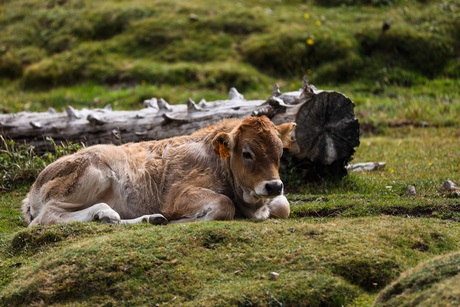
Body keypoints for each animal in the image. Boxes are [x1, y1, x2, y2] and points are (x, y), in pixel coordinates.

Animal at [22, 116, 294, 227]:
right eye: (247, 153)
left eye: (280, 151)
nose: (273, 185)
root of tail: (33, 188)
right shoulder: (178, 195)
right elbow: (224, 205)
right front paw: (182, 220)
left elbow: (284, 206)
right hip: (92, 175)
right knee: (45, 217)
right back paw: (104, 213)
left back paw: (145, 219)